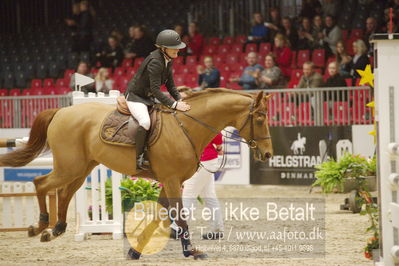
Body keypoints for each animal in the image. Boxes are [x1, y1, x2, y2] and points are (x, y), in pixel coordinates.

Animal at [0, 88, 274, 258]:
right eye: (260, 118)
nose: (268, 154)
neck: (188, 126)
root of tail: (61, 111)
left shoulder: (169, 182)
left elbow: (161, 216)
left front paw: (135, 250)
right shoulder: (172, 181)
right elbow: (179, 216)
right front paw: (191, 251)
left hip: (81, 168)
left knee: (64, 193)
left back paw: (55, 230)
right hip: (69, 167)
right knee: (41, 182)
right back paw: (39, 226)